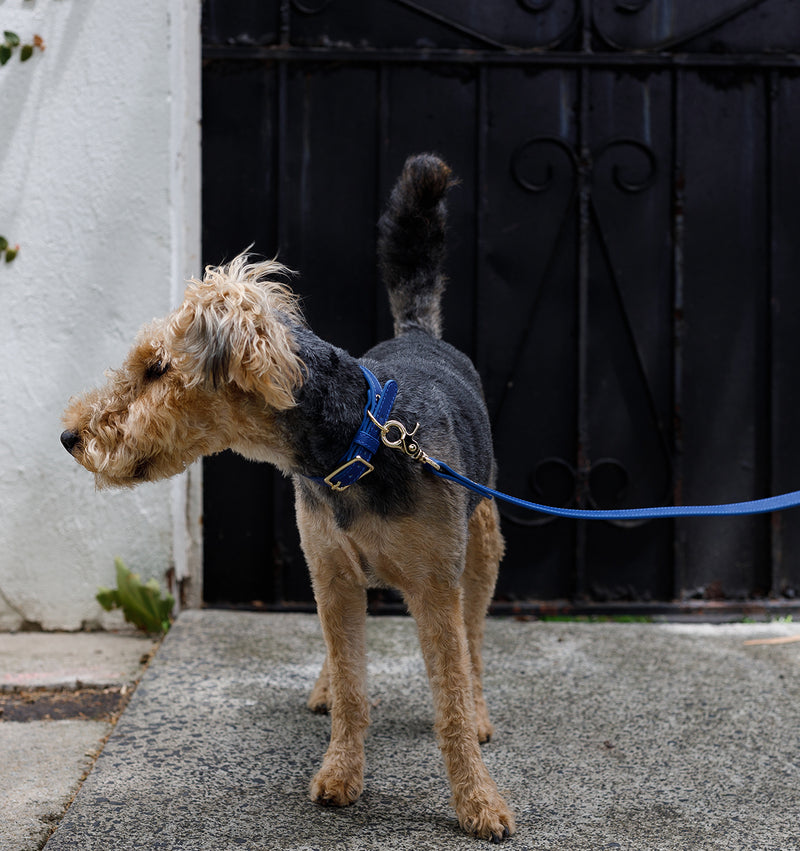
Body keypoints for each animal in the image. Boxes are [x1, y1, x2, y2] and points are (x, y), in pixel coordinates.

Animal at [61, 156, 512, 844]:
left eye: (157, 369)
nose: (69, 436)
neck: (357, 443)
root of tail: (418, 333)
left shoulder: (437, 585)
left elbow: (453, 699)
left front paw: (479, 802)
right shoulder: (330, 571)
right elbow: (353, 686)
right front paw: (341, 774)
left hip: (482, 549)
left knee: (476, 640)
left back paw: (483, 709)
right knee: (343, 651)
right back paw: (326, 686)